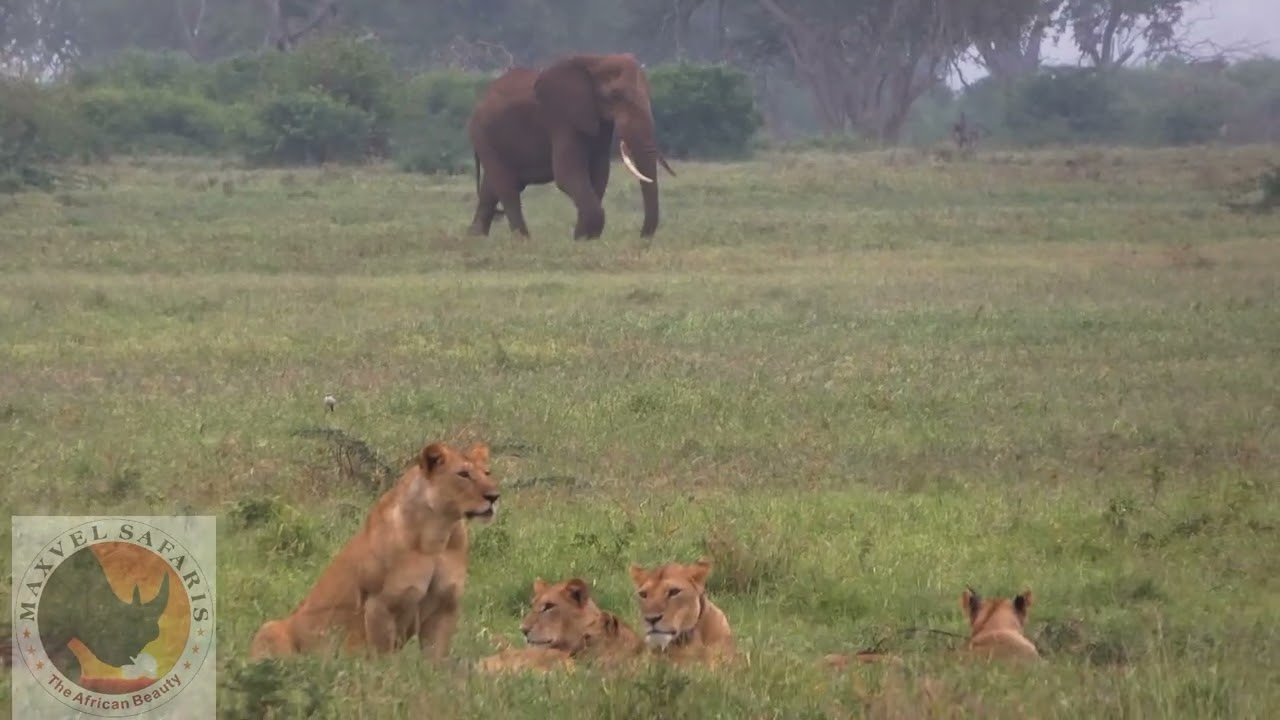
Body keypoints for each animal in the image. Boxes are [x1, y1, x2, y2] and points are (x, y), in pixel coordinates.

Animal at [249, 440, 499, 661]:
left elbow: (435, 659)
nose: (494, 497)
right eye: (463, 474)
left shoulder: (445, 606)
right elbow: (382, 658)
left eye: (487, 473)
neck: (437, 534)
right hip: (270, 627)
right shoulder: (380, 604)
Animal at [466, 52, 676, 240]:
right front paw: (583, 239)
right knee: (507, 188)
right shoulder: (562, 119)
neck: (597, 60)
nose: (641, 237)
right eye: (616, 95)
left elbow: (599, 174)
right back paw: (523, 241)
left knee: (490, 189)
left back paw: (475, 238)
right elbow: (568, 174)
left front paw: (584, 239)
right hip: (483, 135)